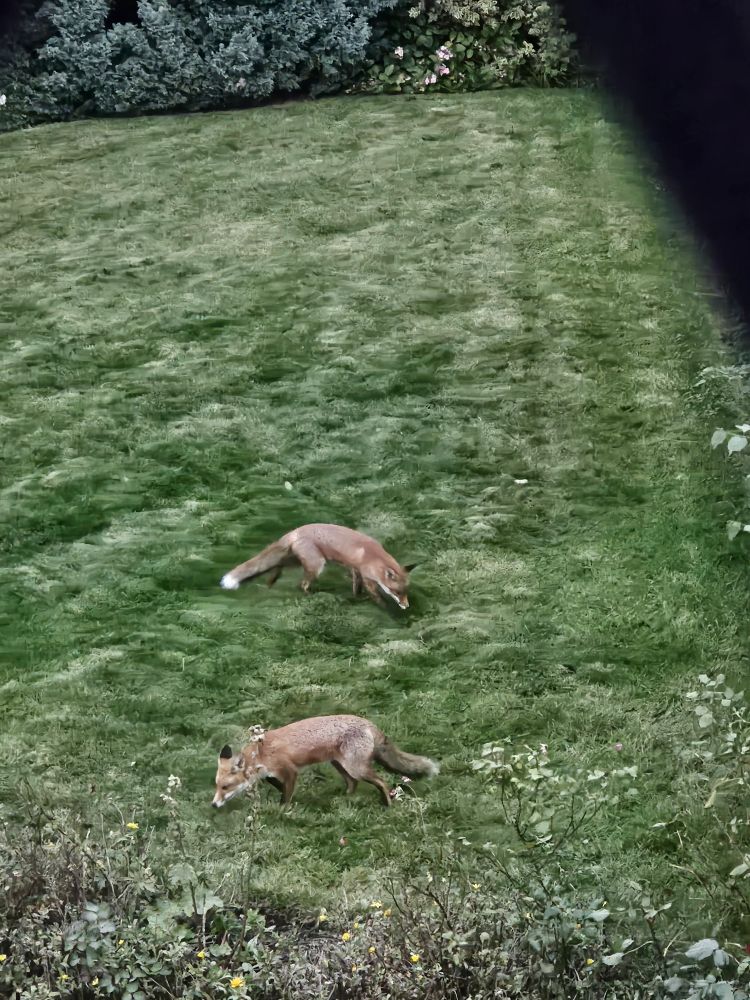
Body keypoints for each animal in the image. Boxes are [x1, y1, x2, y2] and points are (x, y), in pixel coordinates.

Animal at [212, 714, 439, 809]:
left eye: (225, 787)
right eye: (217, 786)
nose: (213, 805)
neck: (259, 755)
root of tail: (369, 723)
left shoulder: (290, 771)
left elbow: (285, 796)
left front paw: (282, 811)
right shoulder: (271, 774)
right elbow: (275, 784)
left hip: (355, 768)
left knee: (381, 782)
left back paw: (387, 805)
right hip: (339, 765)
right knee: (352, 784)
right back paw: (344, 799)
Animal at [219, 523, 416, 609]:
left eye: (406, 591)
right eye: (397, 592)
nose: (406, 606)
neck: (373, 557)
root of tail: (295, 531)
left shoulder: (355, 571)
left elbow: (356, 588)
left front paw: (356, 598)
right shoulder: (367, 577)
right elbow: (377, 596)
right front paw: (385, 608)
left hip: (293, 561)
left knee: (275, 566)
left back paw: (271, 582)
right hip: (317, 565)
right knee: (302, 584)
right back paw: (311, 596)